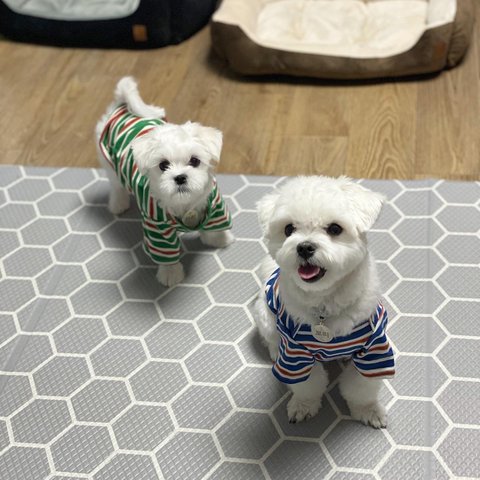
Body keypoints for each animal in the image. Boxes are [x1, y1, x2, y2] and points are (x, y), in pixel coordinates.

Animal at [96, 77, 234, 287]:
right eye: (163, 165)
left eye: (195, 161)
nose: (180, 177)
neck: (185, 205)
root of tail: (121, 105)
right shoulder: (157, 228)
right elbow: (166, 253)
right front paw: (170, 273)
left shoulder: (213, 205)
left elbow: (215, 225)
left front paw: (218, 238)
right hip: (109, 161)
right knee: (116, 186)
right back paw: (118, 204)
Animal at [255, 176, 395, 428]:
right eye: (289, 229)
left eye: (335, 229)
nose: (304, 247)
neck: (325, 304)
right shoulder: (295, 353)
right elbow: (307, 385)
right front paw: (303, 406)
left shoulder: (374, 350)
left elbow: (362, 387)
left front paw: (368, 410)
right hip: (266, 317)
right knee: (270, 337)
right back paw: (273, 350)